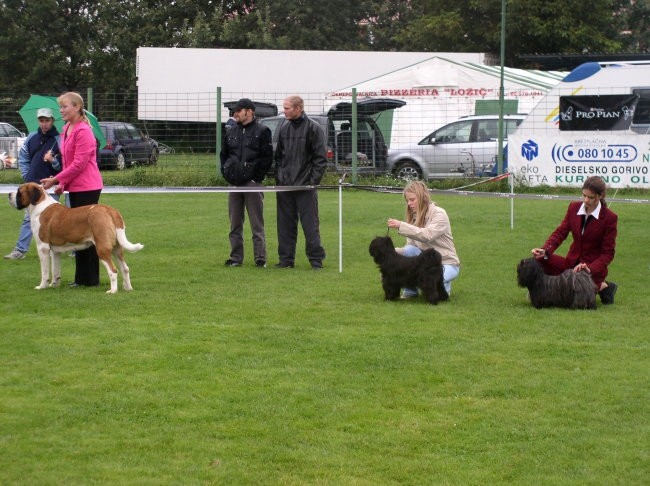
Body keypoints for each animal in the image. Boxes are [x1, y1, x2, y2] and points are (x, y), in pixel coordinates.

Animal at [7, 182, 142, 294]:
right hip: (117, 248)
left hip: (102, 248)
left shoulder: (43, 248)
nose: (9, 194)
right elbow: (55, 270)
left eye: (19, 192)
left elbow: (45, 271)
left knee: (113, 270)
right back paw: (128, 288)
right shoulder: (55, 251)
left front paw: (42, 286)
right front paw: (54, 285)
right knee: (125, 268)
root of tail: (109, 210)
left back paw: (112, 291)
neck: (39, 204)